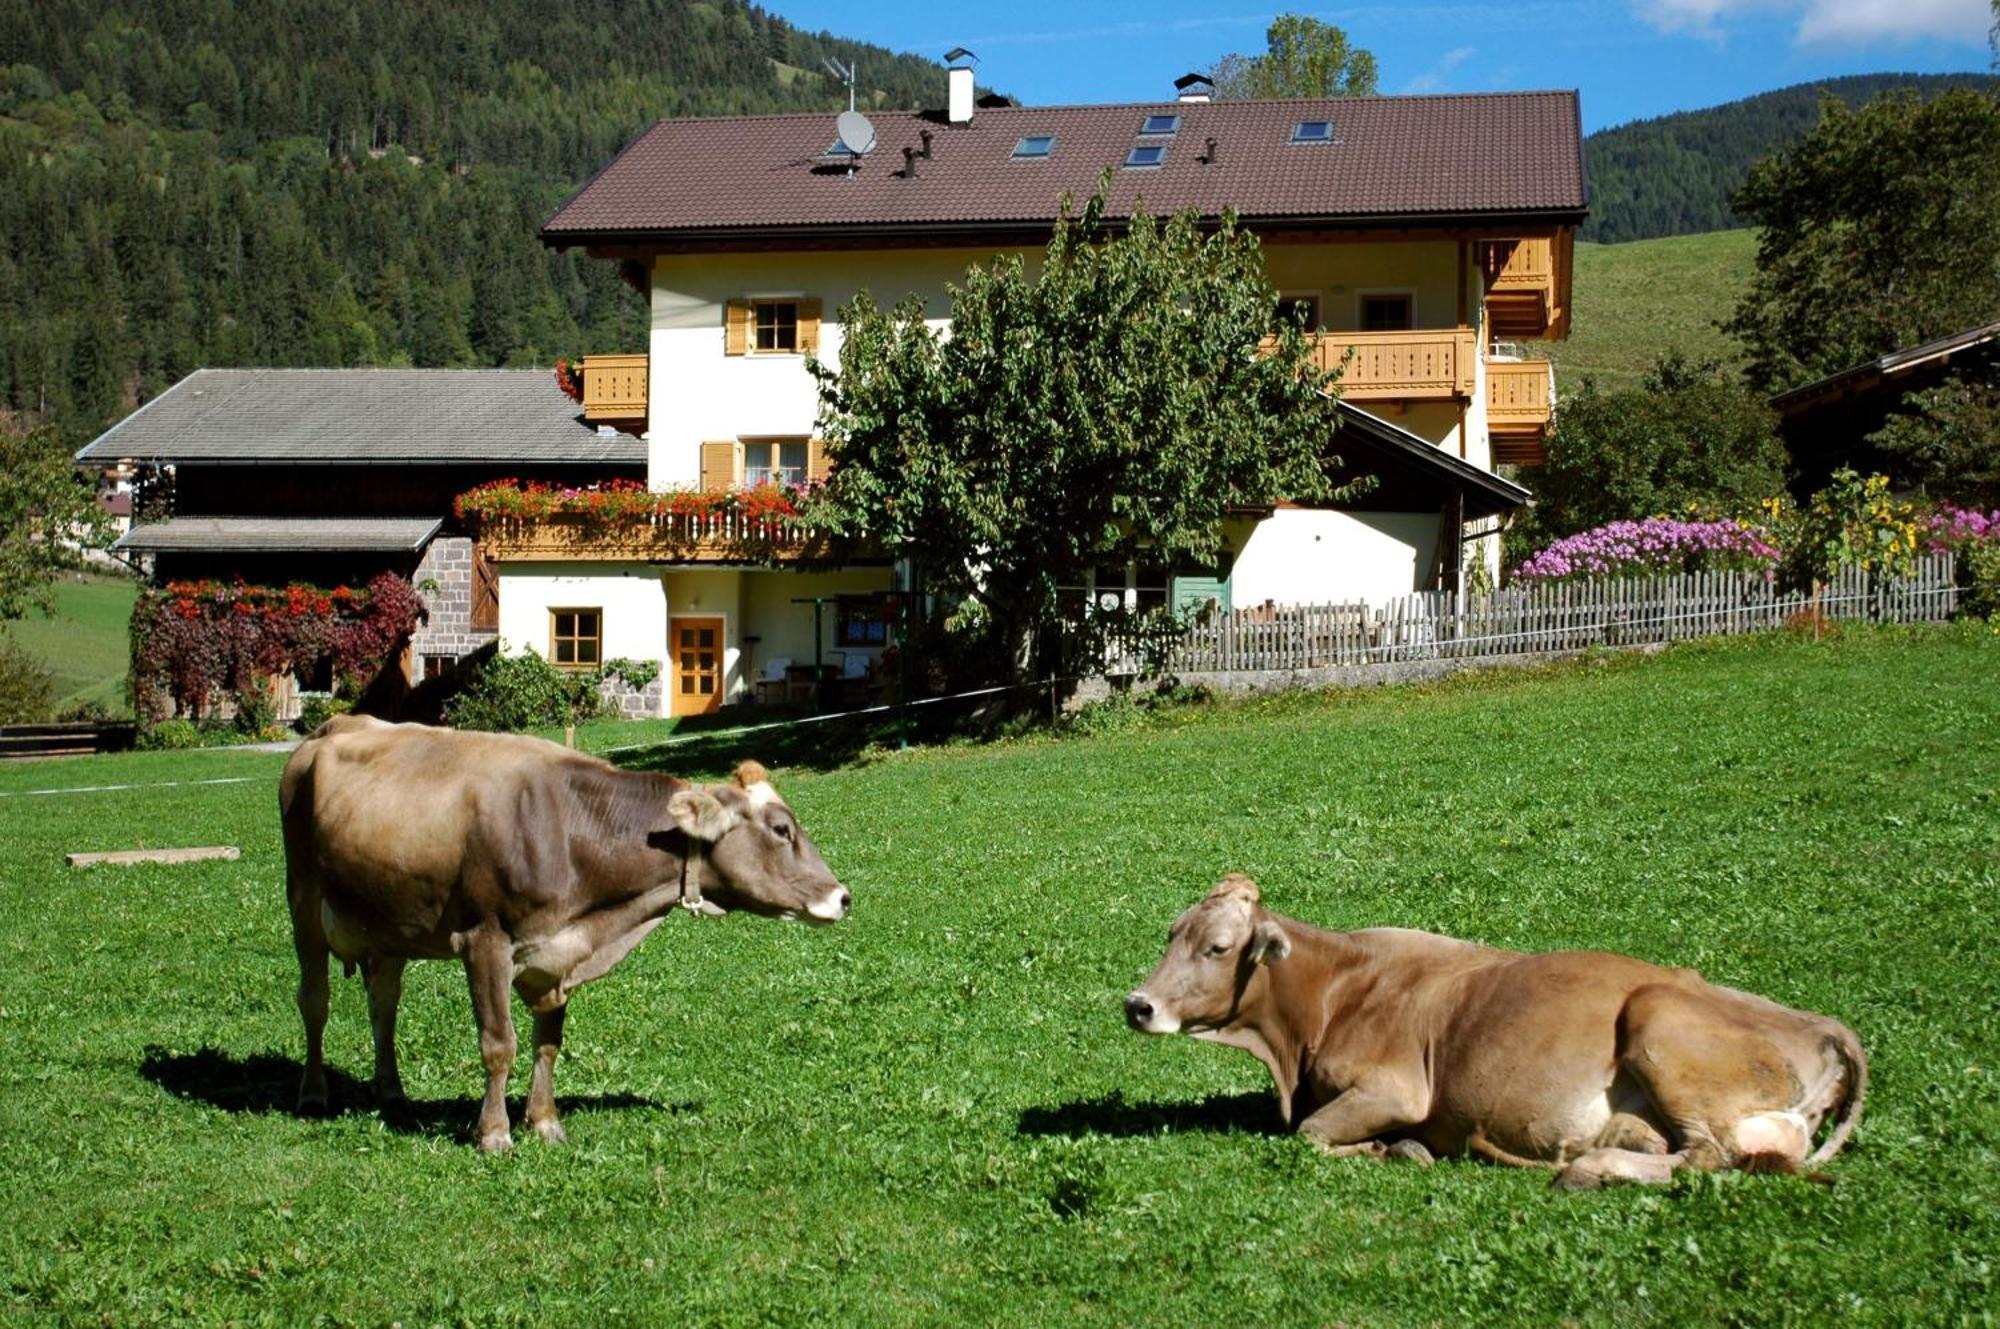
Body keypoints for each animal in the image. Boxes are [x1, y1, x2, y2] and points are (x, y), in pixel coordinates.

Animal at [278, 716, 848, 1152]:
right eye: (781, 830)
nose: (842, 896)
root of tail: (330, 727)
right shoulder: (484, 942)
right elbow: (499, 1044)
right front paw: (494, 1134)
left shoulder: (558, 953)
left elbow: (547, 1044)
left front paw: (545, 1122)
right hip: (303, 902)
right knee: (314, 1001)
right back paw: (313, 1094)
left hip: (389, 923)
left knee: (383, 1004)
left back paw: (392, 1092)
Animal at [1120, 876, 1864, 1184]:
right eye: (1170, 933)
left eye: (1218, 947)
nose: (1138, 1004)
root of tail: (1822, 1024)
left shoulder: (1397, 1090)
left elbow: (1310, 1134)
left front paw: (1396, 1149)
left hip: (1659, 1021)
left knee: (1709, 1155)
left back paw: (1589, 1168)